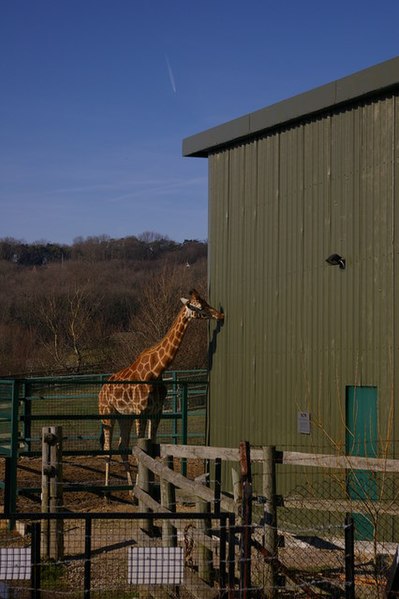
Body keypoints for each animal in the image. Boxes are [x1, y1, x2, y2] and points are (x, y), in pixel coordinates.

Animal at [98, 290, 223, 492]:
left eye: (205, 302)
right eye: (200, 307)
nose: (219, 315)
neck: (157, 370)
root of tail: (102, 389)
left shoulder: (156, 412)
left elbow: (150, 451)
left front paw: (150, 486)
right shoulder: (141, 411)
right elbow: (140, 449)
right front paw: (142, 488)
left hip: (124, 416)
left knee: (122, 446)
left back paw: (129, 487)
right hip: (107, 413)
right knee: (108, 449)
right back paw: (107, 491)